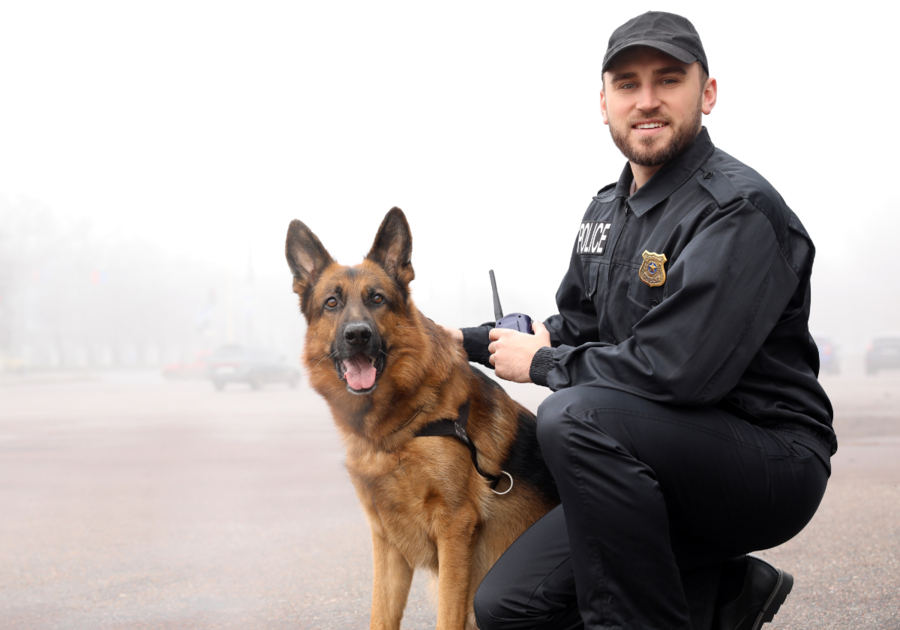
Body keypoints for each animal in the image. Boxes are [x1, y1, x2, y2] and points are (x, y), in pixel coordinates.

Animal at [284, 209, 560, 630]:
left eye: (377, 299)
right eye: (332, 302)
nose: (358, 335)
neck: (395, 433)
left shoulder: (454, 529)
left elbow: (447, 616)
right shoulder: (386, 541)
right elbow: (380, 616)